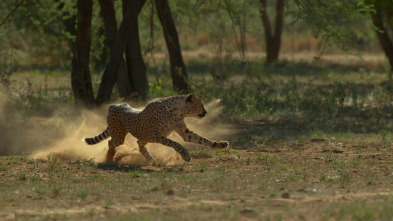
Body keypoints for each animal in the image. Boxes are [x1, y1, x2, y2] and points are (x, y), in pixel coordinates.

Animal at [84, 94, 228, 163]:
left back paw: (151, 160)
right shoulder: (155, 135)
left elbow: (202, 139)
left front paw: (219, 144)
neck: (176, 110)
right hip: (120, 135)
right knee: (111, 142)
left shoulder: (184, 132)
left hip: (143, 137)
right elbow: (175, 143)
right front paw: (185, 155)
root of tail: (114, 105)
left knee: (139, 145)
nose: (206, 112)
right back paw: (110, 156)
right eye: (201, 104)